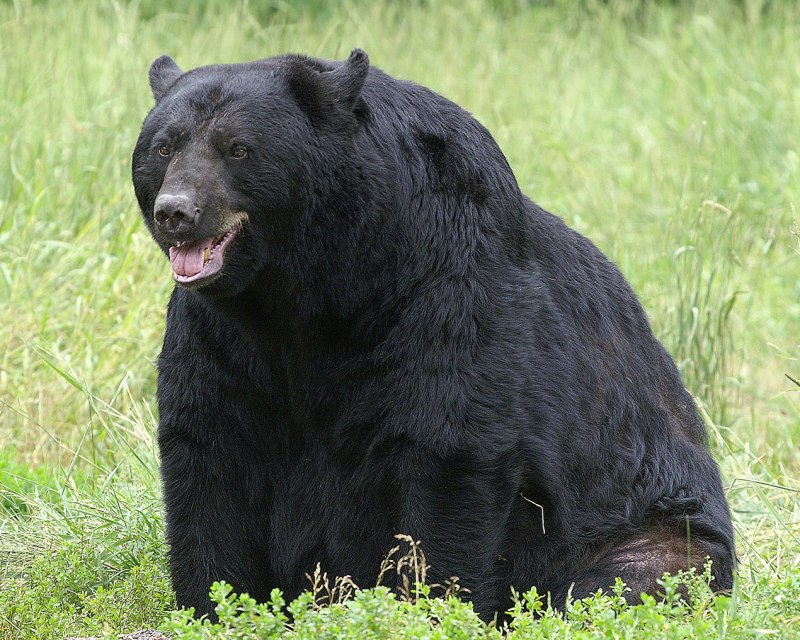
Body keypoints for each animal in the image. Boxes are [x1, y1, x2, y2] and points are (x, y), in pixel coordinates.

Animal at [132, 49, 735, 621]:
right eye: (164, 147)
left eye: (238, 148)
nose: (176, 212)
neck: (312, 282)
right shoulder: (220, 331)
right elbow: (209, 450)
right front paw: (217, 606)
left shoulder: (446, 286)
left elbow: (448, 450)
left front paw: (427, 605)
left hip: (652, 525)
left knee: (635, 579)